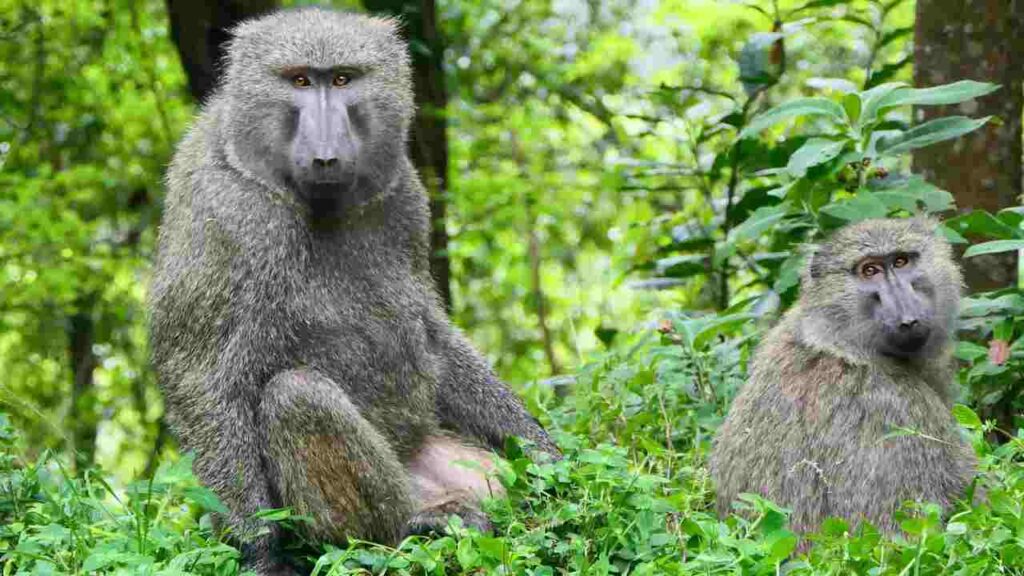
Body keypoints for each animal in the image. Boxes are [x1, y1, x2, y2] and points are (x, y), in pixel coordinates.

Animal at [147, 8, 559, 575]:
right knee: (296, 396)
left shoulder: (406, 197)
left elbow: (432, 335)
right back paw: (419, 526)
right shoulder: (227, 214)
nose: (326, 155)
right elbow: (200, 376)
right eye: (300, 80)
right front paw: (259, 552)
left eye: (342, 79)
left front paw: (550, 459)